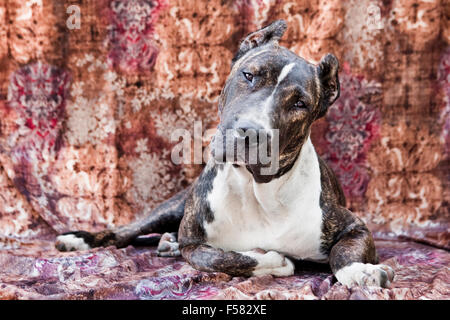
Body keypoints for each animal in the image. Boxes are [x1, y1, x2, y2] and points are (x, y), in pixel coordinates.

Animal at [55, 20, 394, 288]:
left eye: (300, 103)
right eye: (248, 75)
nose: (250, 132)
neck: (257, 190)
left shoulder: (353, 226)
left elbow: (343, 251)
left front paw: (360, 272)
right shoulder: (194, 243)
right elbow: (224, 258)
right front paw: (272, 260)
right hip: (172, 206)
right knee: (126, 231)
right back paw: (81, 239)